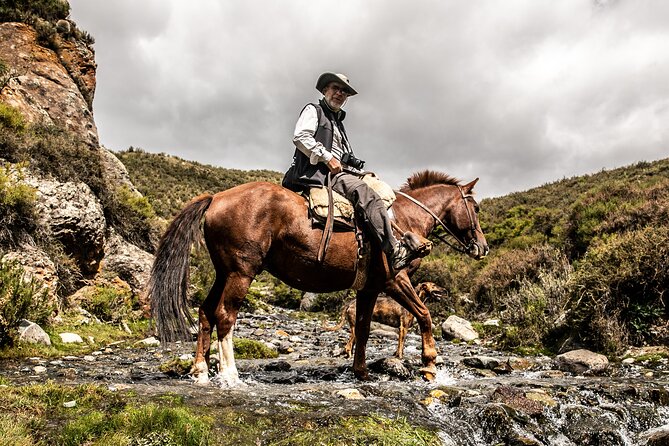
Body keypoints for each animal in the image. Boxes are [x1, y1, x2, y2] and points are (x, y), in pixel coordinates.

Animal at [149, 169, 488, 386]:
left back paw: (200, 370)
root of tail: (216, 197)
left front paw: (361, 372)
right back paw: (230, 375)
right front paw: (429, 365)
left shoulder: (369, 289)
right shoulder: (395, 280)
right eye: (475, 207)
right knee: (224, 316)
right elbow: (425, 315)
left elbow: (363, 329)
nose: (482, 247)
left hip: (223, 272)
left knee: (205, 311)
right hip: (241, 273)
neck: (404, 221)